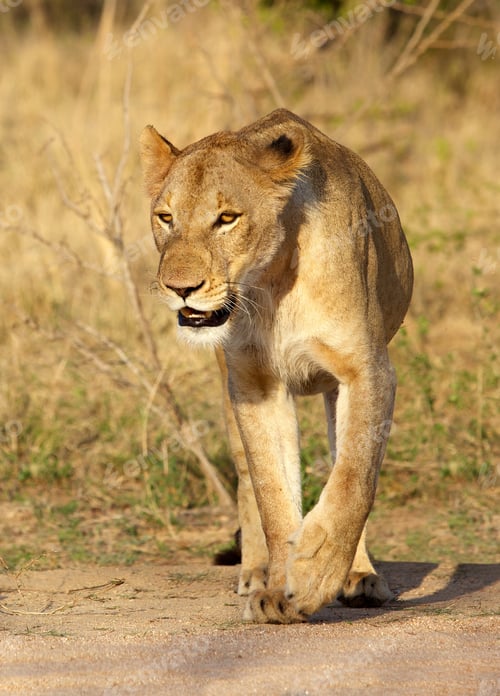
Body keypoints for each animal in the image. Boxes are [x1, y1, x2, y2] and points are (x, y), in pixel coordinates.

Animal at [140, 109, 413, 623]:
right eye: (165, 217)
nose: (180, 289)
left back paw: (360, 575)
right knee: (248, 479)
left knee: (342, 460)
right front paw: (281, 589)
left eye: (227, 218)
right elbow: (271, 491)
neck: (271, 281)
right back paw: (255, 572)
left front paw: (316, 573)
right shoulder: (255, 384)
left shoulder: (367, 370)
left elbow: (354, 478)